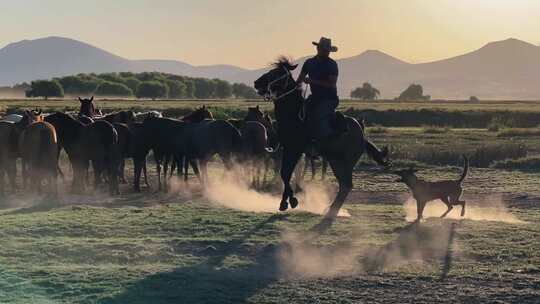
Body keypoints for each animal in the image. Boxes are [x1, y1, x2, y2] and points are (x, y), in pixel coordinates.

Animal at [253, 57, 388, 217]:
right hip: (336, 160)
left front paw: (292, 200)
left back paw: (332, 209)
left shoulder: (295, 149)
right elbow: (286, 173)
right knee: (344, 185)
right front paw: (284, 202)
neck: (294, 116)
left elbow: (286, 173)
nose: (257, 82)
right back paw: (330, 208)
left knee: (347, 185)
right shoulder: (289, 149)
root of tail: (361, 134)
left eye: (278, 73)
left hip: (343, 162)